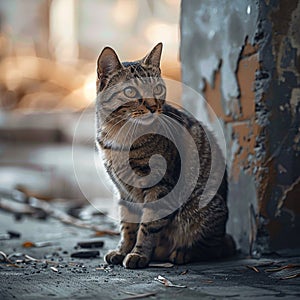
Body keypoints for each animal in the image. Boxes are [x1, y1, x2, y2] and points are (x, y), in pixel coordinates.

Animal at [95, 42, 236, 270]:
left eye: (158, 89)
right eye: (130, 91)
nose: (153, 107)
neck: (120, 136)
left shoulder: (160, 186)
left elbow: (148, 225)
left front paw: (139, 254)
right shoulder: (123, 192)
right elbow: (128, 224)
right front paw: (123, 250)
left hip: (204, 208)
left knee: (218, 247)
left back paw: (183, 253)